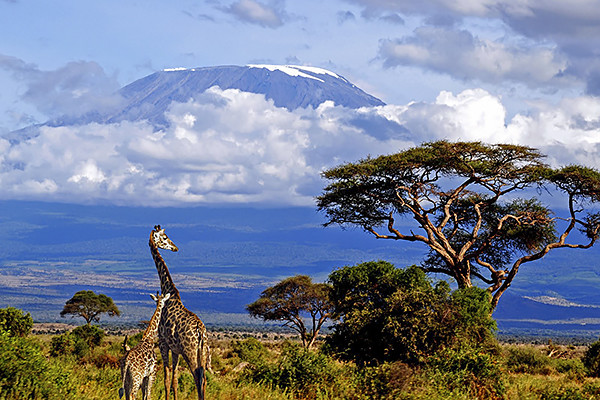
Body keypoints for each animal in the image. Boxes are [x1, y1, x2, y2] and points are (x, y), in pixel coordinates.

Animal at [149, 225, 210, 400]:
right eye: (164, 238)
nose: (175, 247)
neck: (169, 291)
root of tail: (200, 332)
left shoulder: (163, 342)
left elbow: (166, 378)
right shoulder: (175, 349)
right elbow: (174, 380)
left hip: (190, 352)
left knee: (197, 377)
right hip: (203, 351)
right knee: (204, 380)